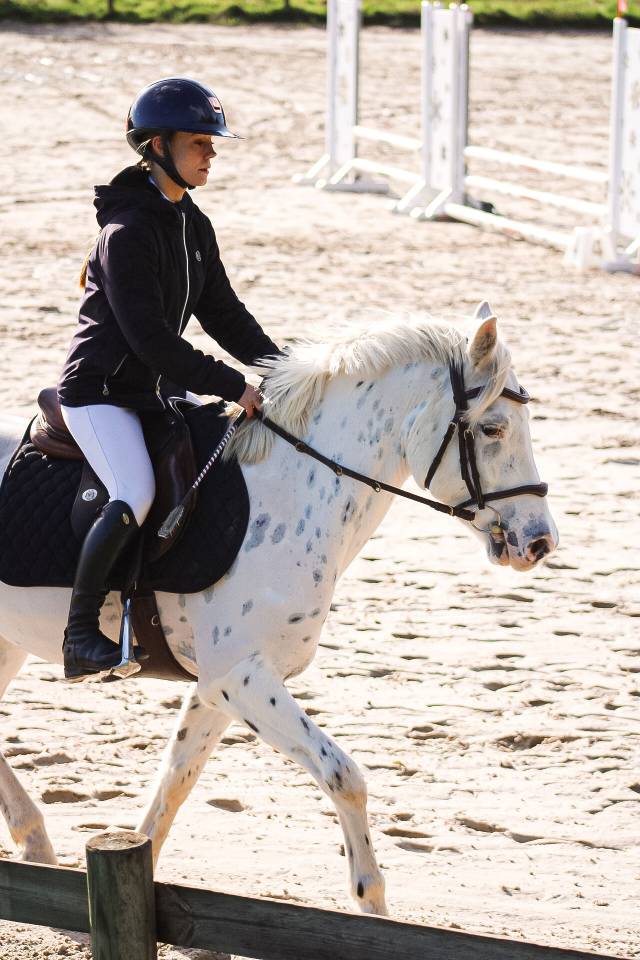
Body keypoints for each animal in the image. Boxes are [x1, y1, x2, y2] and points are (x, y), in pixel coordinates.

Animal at [0, 306, 558, 915]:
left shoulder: (218, 685)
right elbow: (344, 776)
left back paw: (35, 841)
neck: (289, 491)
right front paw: (371, 903)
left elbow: (175, 782)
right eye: (493, 428)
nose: (540, 542)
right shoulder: (240, 677)